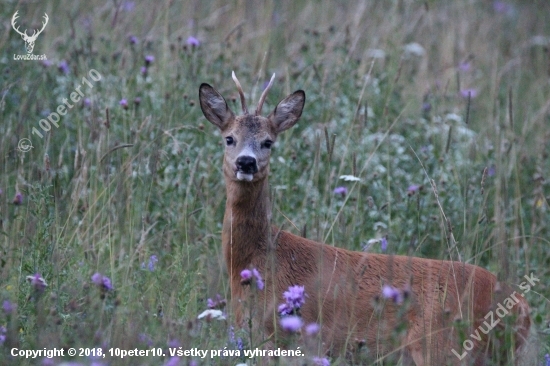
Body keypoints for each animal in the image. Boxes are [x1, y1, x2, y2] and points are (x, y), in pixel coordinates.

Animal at [198, 73, 532, 364]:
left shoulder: (274, 336)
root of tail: (521, 306)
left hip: (443, 347)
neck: (256, 259)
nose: (246, 162)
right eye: (229, 138)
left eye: (268, 141)